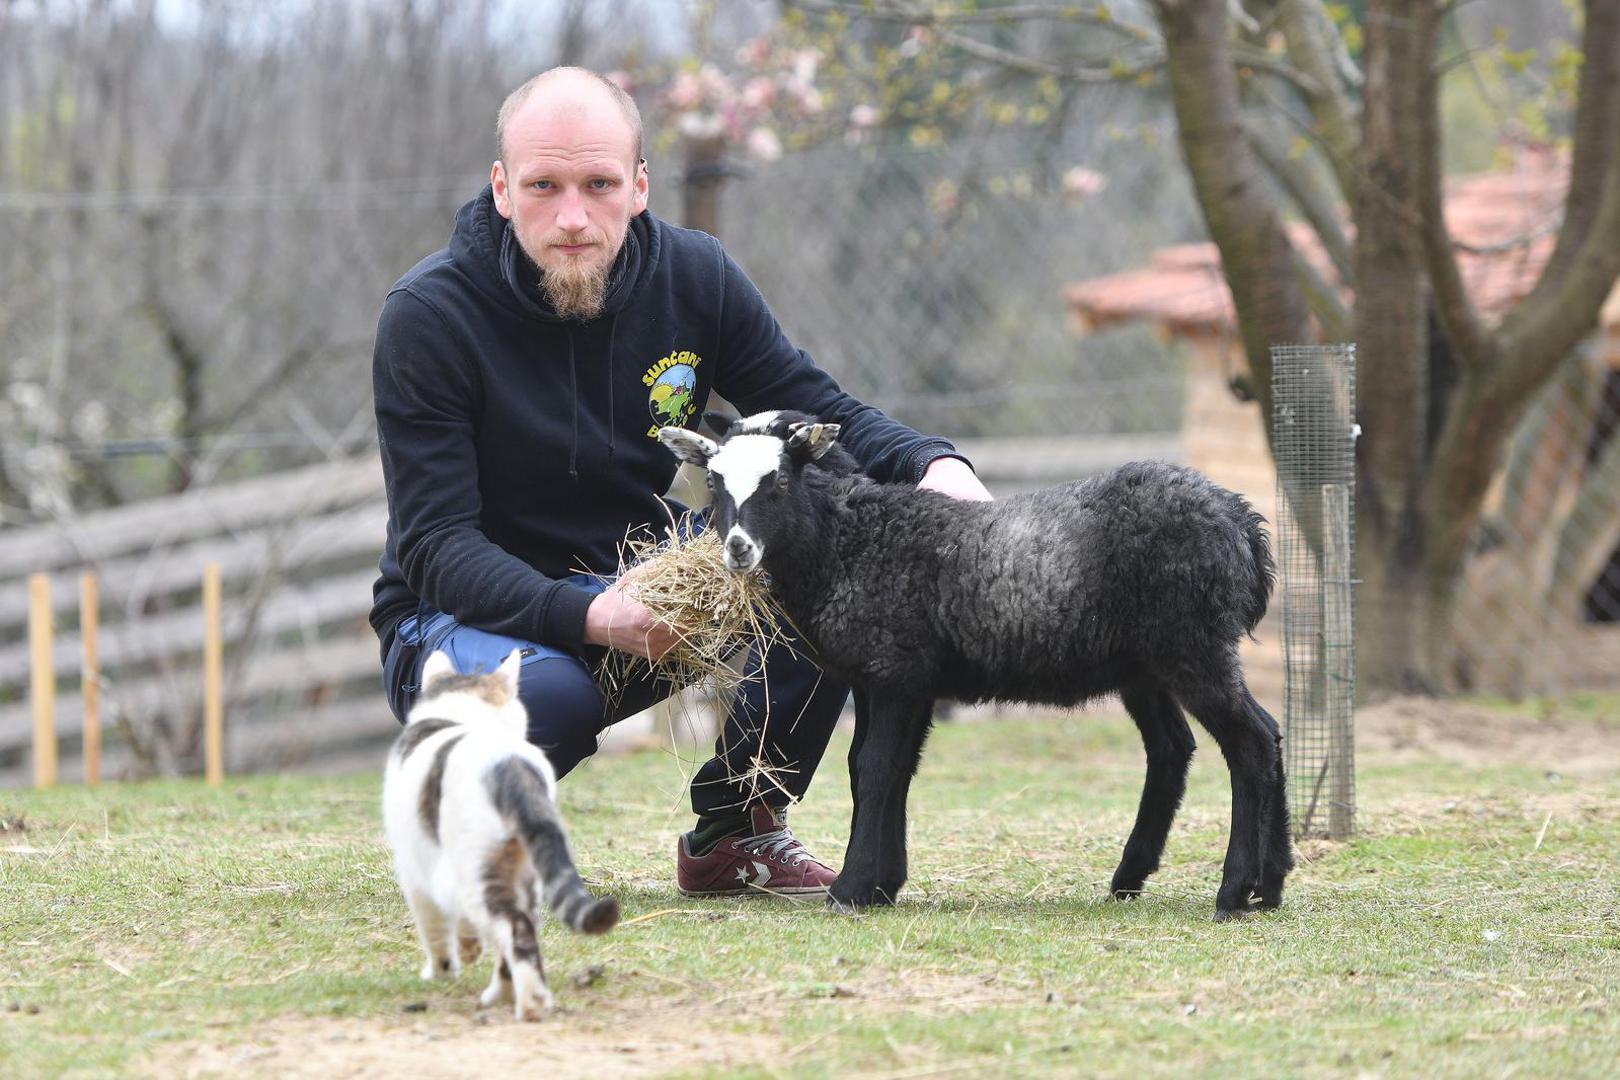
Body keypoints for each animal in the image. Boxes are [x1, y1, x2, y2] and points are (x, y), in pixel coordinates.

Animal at [379, 650, 618, 1023]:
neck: (466, 715)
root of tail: (511, 769)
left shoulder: (416, 870)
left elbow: (434, 927)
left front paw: (442, 970)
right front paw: (469, 948)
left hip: (479, 868)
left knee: (513, 929)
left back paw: (528, 1002)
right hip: (526, 871)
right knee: (521, 931)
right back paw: (503, 994)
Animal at [657, 409, 1289, 919]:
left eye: (780, 481)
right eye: (714, 482)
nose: (738, 548)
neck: (851, 539)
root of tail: (1242, 523)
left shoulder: (893, 670)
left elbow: (878, 769)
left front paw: (853, 889)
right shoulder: (899, 678)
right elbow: (881, 770)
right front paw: (885, 884)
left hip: (1193, 648)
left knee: (1250, 743)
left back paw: (1235, 891)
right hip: (1148, 663)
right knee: (1189, 747)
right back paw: (1247, 881)